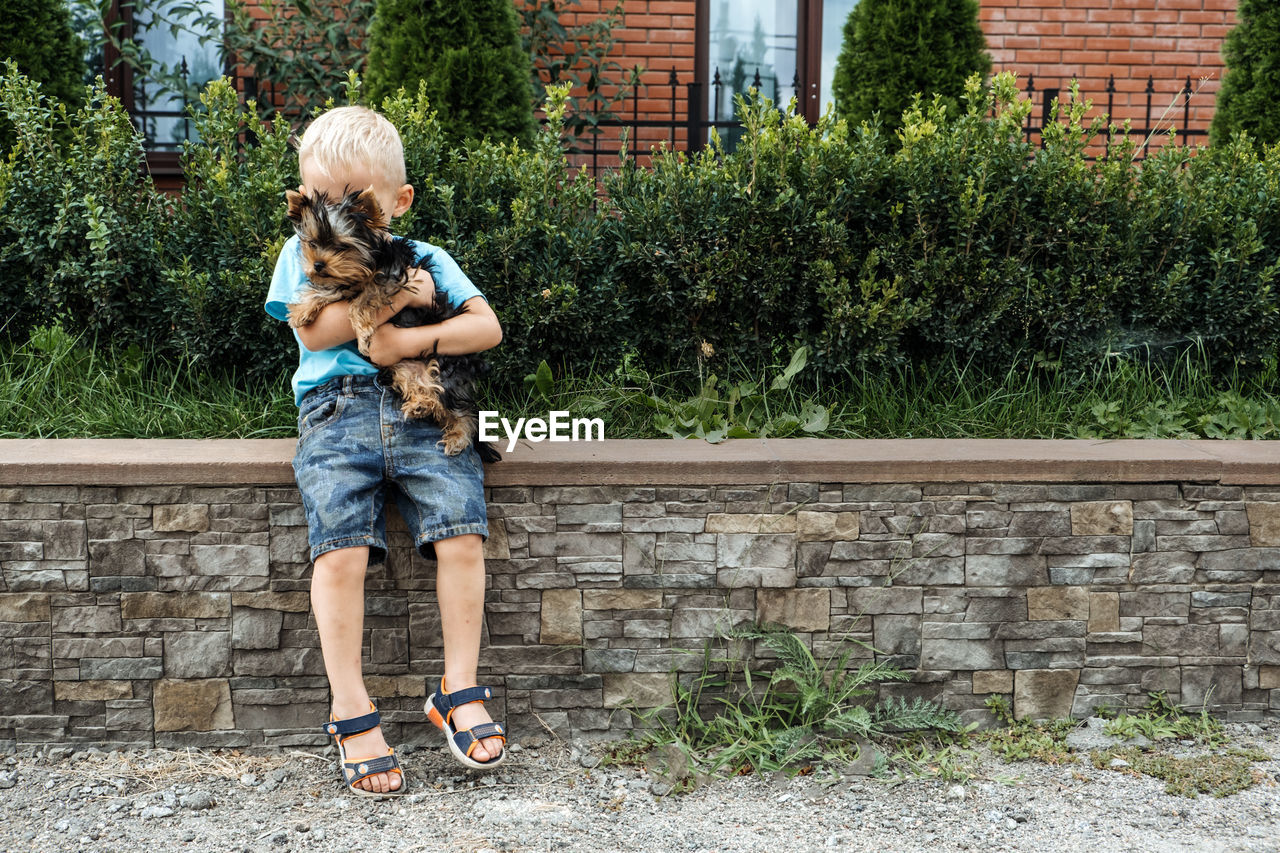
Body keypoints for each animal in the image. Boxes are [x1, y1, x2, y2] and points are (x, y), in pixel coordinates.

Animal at [285, 185, 499, 458]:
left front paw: (363, 331)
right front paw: (303, 309)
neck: (369, 261)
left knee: (459, 408)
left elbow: (361, 299)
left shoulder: (393, 277)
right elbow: (332, 290)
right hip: (405, 368)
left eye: (342, 247)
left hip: (446, 366)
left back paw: (457, 436)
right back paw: (421, 405)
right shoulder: (348, 279)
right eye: (312, 243)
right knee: (427, 390)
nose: (318, 265)